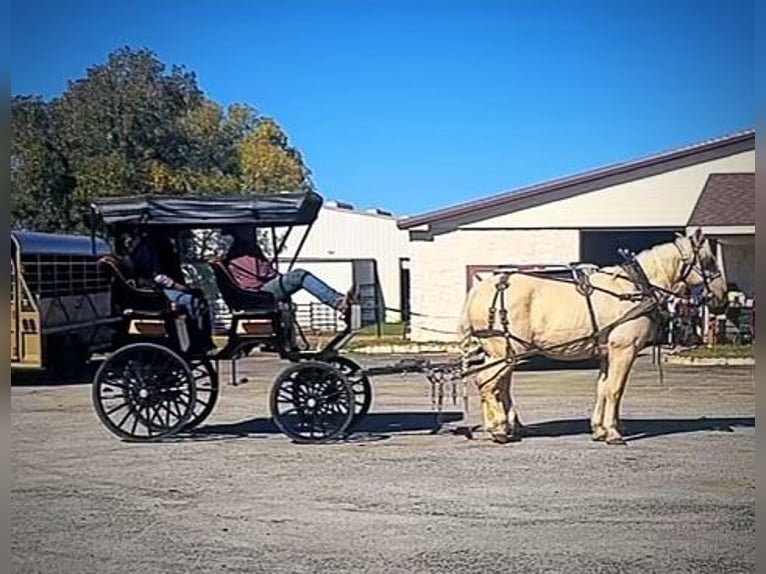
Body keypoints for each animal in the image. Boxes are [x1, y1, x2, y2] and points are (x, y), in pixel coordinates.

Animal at [460, 228, 728, 446]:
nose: (722, 299)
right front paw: (613, 433)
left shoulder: (607, 353)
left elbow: (602, 388)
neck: (634, 288)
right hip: (504, 350)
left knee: (497, 385)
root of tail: (478, 289)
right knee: (487, 383)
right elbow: (616, 390)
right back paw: (499, 429)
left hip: (501, 352)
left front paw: (599, 429)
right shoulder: (625, 349)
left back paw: (506, 427)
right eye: (709, 261)